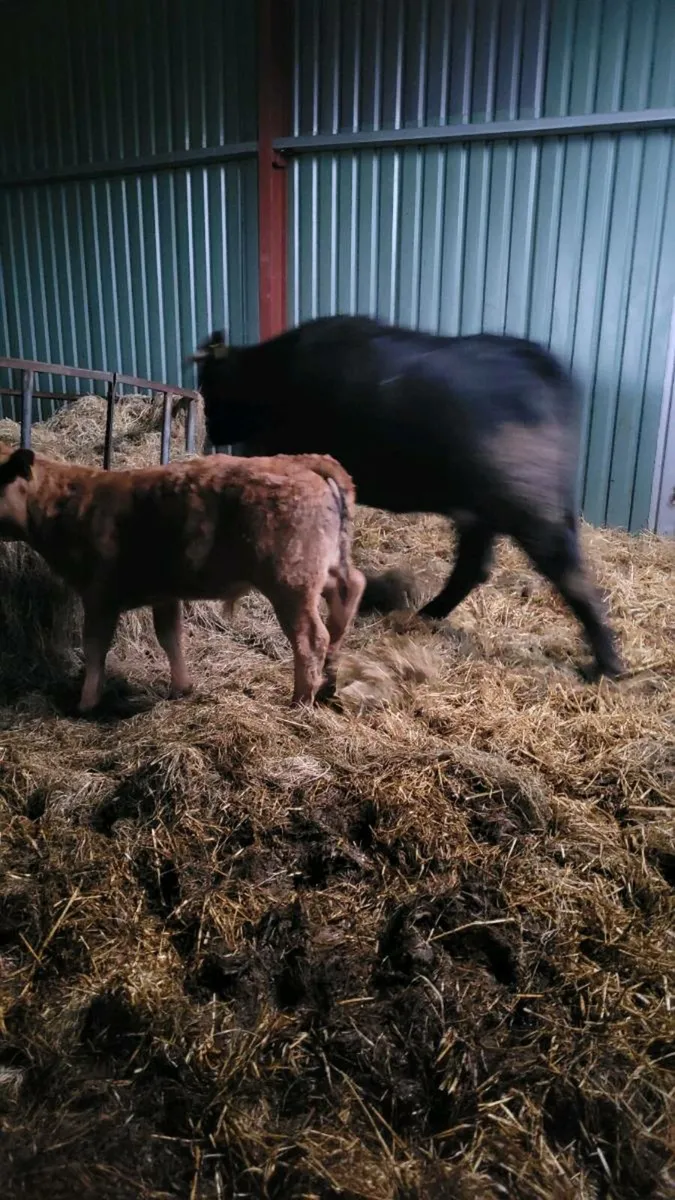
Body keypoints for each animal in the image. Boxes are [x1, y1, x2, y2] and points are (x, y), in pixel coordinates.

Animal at [0, 444, 365, 712]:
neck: (65, 502)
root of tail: (303, 461)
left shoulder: (98, 594)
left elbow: (95, 647)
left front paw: (86, 703)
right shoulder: (165, 594)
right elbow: (170, 637)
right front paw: (181, 688)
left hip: (291, 581)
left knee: (310, 638)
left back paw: (300, 702)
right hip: (325, 569)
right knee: (349, 595)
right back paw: (328, 681)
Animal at [189, 317, 622, 679]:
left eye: (209, 383)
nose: (210, 426)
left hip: (529, 508)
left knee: (567, 573)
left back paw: (607, 666)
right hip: (485, 512)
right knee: (475, 567)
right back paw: (425, 615)